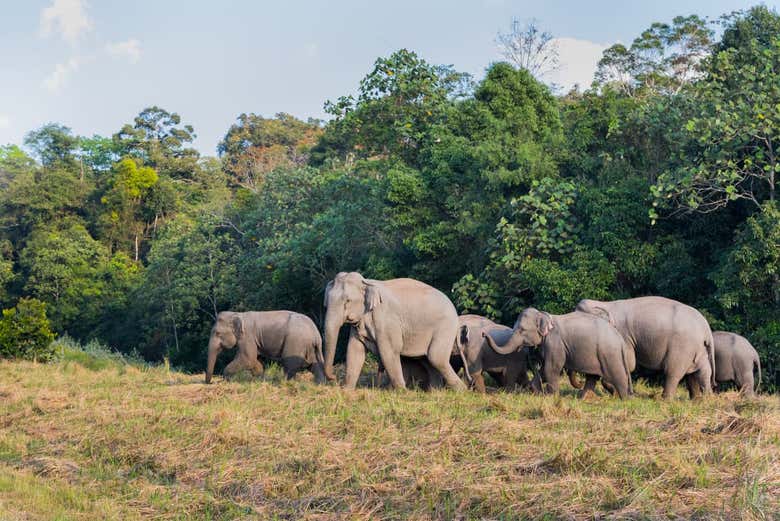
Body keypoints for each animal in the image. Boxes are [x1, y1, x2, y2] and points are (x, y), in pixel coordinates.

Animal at [322, 272, 464, 390]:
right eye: (326, 303)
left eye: (348, 301)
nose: (334, 378)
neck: (366, 282)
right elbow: (354, 350)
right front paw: (347, 390)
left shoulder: (386, 320)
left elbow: (389, 351)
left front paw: (401, 391)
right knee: (427, 359)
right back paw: (434, 391)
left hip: (445, 326)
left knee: (436, 357)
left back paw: (461, 390)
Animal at [484, 308, 636, 398]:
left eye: (521, 330)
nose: (483, 334)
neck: (544, 315)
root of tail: (620, 339)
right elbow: (545, 369)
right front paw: (537, 392)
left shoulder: (555, 343)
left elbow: (551, 368)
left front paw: (552, 397)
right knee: (592, 376)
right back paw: (583, 398)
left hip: (609, 353)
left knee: (617, 374)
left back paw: (624, 399)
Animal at [576, 294, 716, 400]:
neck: (606, 305)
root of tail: (705, 328)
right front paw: (586, 397)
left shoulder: (623, 335)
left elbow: (629, 363)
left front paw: (614, 391)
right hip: (698, 348)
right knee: (701, 372)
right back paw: (702, 400)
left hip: (683, 346)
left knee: (673, 372)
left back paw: (665, 400)